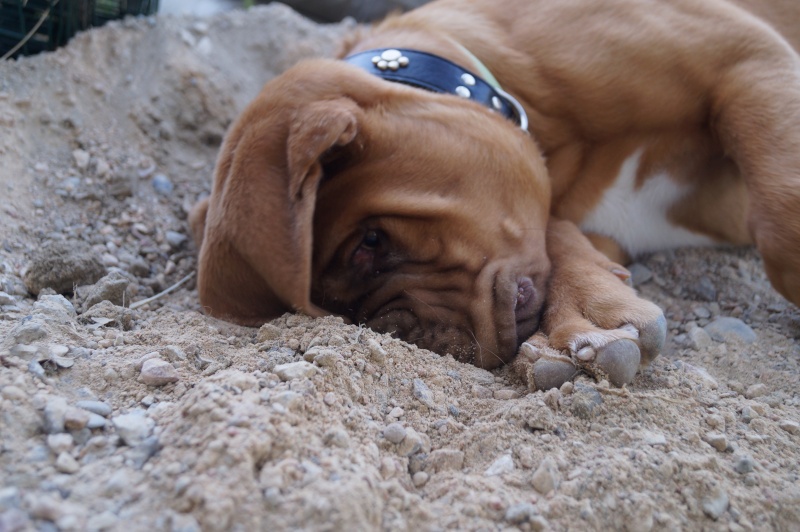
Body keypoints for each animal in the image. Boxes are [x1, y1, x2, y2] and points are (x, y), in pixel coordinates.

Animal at [192, 0, 800, 390]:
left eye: (371, 242)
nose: (394, 334)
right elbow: (559, 233)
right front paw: (583, 321)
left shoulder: (748, 59)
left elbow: (781, 228)